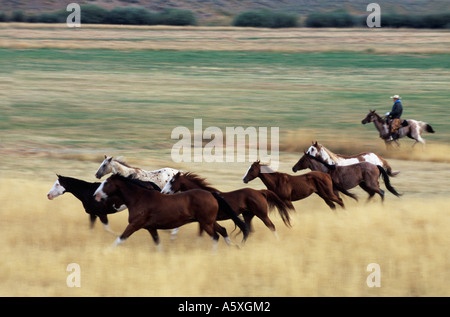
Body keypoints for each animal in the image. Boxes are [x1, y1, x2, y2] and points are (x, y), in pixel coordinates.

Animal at [94, 174, 250, 251]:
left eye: (106, 183)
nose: (96, 195)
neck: (139, 198)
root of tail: (211, 194)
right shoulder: (150, 228)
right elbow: (157, 243)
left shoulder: (134, 225)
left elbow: (120, 238)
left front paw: (106, 251)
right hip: (209, 221)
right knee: (223, 231)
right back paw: (233, 247)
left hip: (206, 223)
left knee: (215, 236)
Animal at [162, 172, 296, 236]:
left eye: (172, 181)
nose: (163, 192)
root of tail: (259, 192)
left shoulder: (204, 220)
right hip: (248, 215)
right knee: (249, 229)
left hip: (262, 214)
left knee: (272, 226)